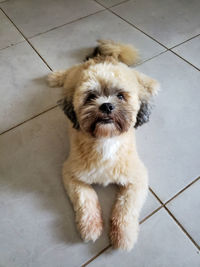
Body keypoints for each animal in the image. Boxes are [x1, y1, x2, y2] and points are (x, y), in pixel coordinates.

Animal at [47, 39, 159, 251]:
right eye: (91, 97)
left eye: (121, 96)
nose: (106, 105)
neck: (106, 139)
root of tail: (105, 57)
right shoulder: (71, 174)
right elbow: (86, 199)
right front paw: (90, 227)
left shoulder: (138, 178)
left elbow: (126, 208)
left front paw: (123, 235)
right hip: (74, 76)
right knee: (69, 72)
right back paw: (56, 76)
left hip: (131, 74)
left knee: (139, 77)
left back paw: (151, 83)